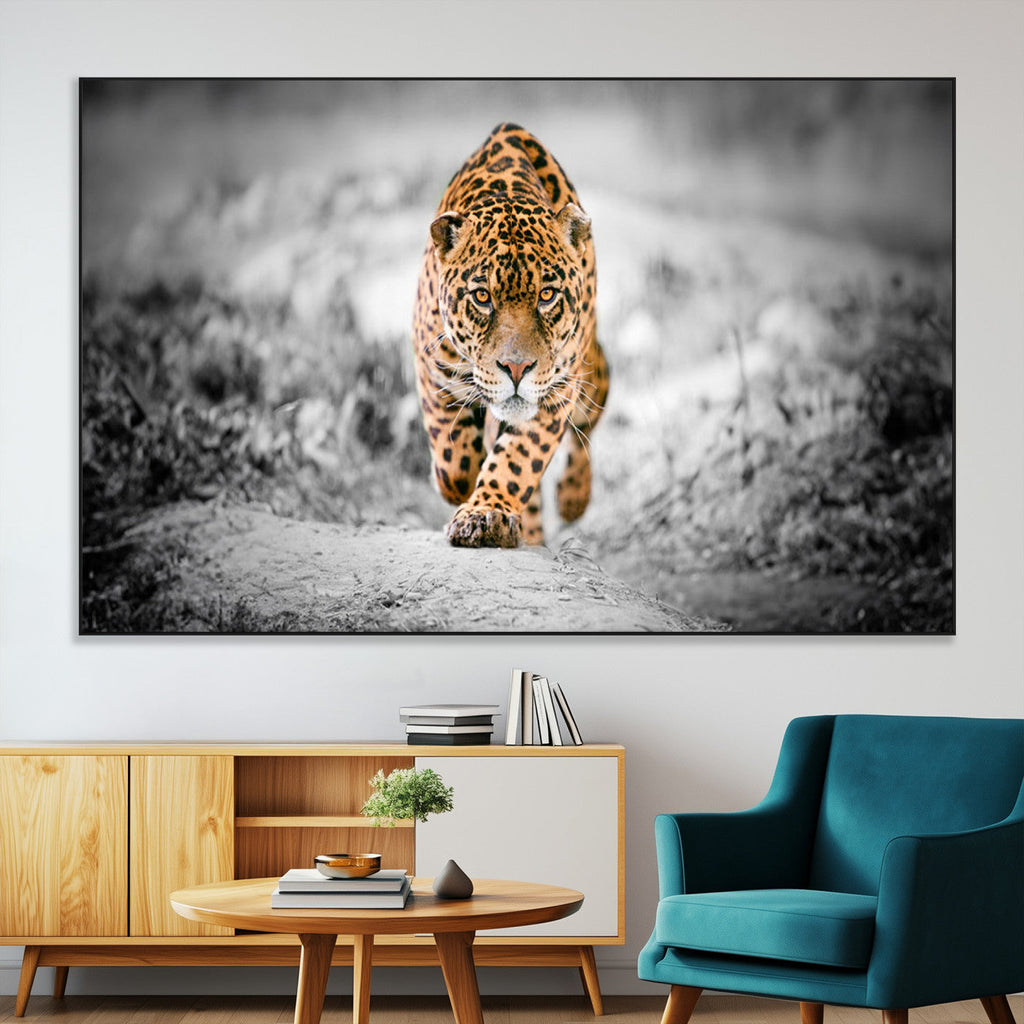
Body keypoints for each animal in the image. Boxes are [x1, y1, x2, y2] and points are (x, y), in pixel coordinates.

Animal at [411, 122, 609, 548]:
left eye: (547, 295)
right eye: (482, 297)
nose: (516, 369)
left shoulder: (557, 390)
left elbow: (518, 460)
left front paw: (485, 514)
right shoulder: (432, 365)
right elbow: (453, 458)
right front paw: (460, 486)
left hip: (591, 375)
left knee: (586, 427)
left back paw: (573, 498)